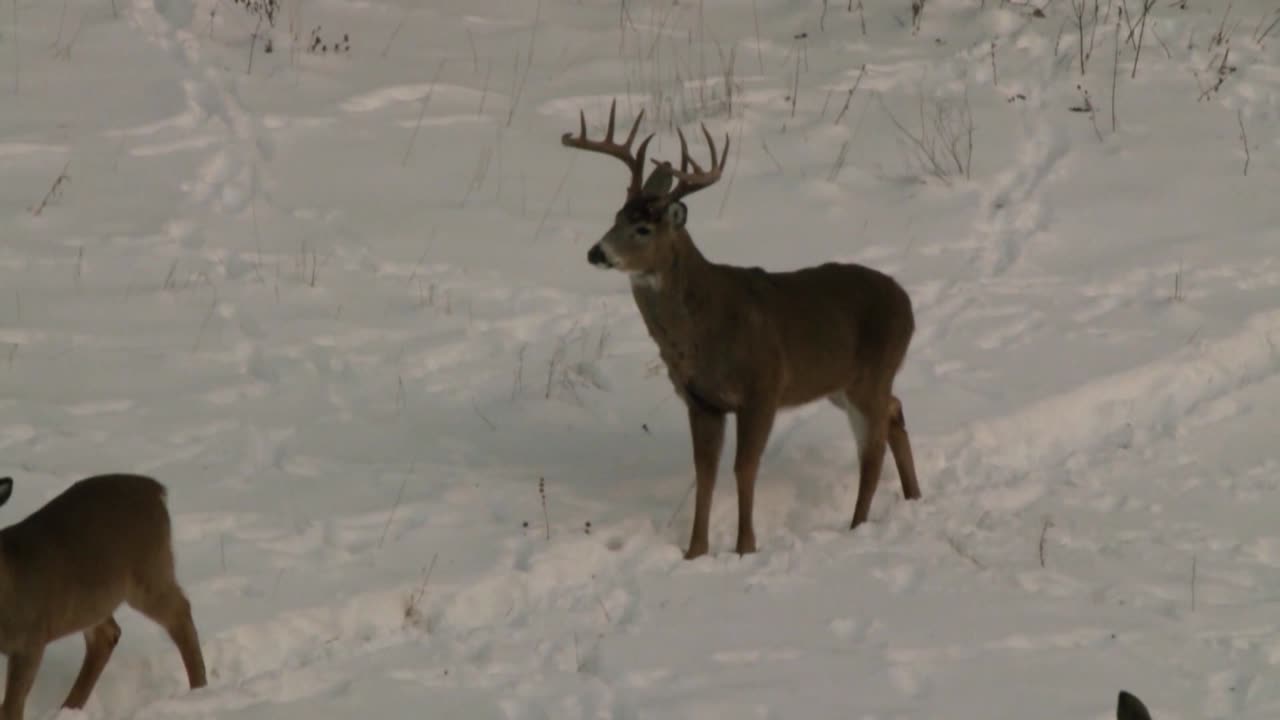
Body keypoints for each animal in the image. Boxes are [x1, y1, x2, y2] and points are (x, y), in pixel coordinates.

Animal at [0, 471, 204, 717]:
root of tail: (156, 489)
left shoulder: (30, 638)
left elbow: (11, 705)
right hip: (94, 600)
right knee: (107, 634)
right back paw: (68, 709)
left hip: (148, 569)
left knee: (179, 611)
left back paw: (200, 689)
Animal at [563, 99, 921, 561]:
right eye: (616, 216)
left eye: (643, 228)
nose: (596, 252)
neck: (703, 331)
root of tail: (907, 303)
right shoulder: (701, 401)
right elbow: (705, 474)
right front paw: (695, 551)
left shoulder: (763, 388)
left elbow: (744, 469)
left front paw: (745, 547)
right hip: (842, 384)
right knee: (895, 410)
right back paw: (913, 496)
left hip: (870, 374)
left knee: (872, 448)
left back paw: (857, 525)